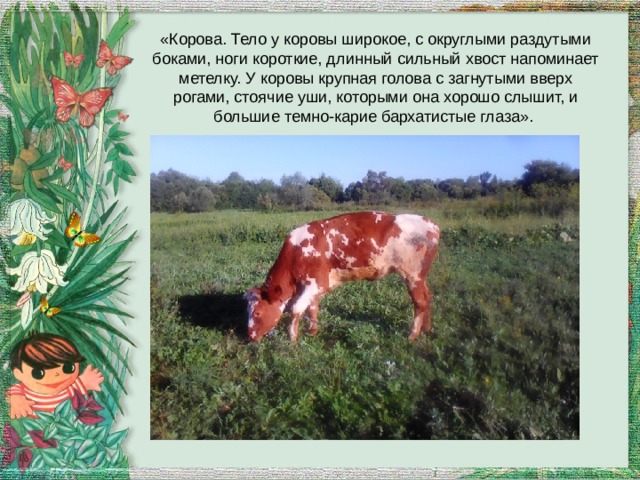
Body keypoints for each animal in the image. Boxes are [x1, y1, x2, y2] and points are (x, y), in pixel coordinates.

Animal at [245, 211, 440, 343]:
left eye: (257, 312)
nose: (250, 336)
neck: (297, 252)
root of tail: (432, 224)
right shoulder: (319, 286)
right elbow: (312, 308)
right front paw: (312, 332)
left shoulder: (315, 283)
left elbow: (296, 309)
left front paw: (292, 339)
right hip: (421, 277)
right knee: (428, 297)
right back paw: (427, 330)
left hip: (412, 275)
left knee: (420, 302)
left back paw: (412, 335)